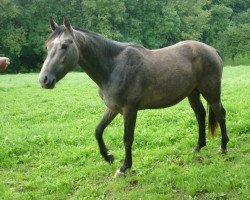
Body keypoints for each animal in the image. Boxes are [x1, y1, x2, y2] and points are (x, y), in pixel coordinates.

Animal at [39, 17, 229, 177]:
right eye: (47, 46)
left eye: (64, 45)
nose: (44, 79)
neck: (113, 66)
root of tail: (212, 50)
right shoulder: (113, 108)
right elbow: (98, 130)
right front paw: (108, 156)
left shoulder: (129, 109)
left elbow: (127, 138)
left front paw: (124, 167)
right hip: (193, 93)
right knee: (200, 115)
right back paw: (198, 146)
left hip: (211, 92)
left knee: (220, 115)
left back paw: (223, 147)